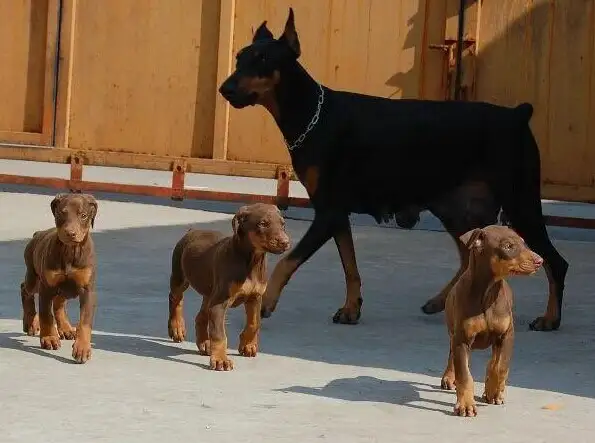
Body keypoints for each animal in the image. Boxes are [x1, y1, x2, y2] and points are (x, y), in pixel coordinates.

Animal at [20, 193, 98, 364]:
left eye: (83, 216)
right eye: (61, 213)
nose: (70, 233)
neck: (69, 251)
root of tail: (38, 233)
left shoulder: (88, 290)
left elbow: (85, 321)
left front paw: (82, 348)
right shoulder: (46, 287)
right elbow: (45, 315)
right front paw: (49, 337)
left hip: (63, 288)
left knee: (58, 303)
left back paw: (66, 328)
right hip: (34, 278)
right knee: (25, 289)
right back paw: (30, 322)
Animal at [168, 204, 292, 372]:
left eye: (283, 224)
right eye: (263, 223)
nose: (285, 242)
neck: (251, 261)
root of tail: (192, 230)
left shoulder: (255, 297)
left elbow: (254, 323)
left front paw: (247, 345)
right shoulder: (220, 302)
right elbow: (219, 334)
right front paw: (221, 360)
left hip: (209, 293)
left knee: (201, 316)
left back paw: (204, 343)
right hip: (180, 275)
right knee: (175, 298)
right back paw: (177, 328)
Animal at [442, 225, 544, 416]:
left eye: (523, 242)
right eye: (508, 246)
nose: (540, 261)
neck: (488, 292)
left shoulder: (507, 334)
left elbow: (501, 366)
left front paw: (493, 391)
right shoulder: (462, 339)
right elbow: (464, 375)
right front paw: (466, 405)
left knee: (494, 360)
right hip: (453, 330)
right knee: (452, 354)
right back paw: (449, 377)